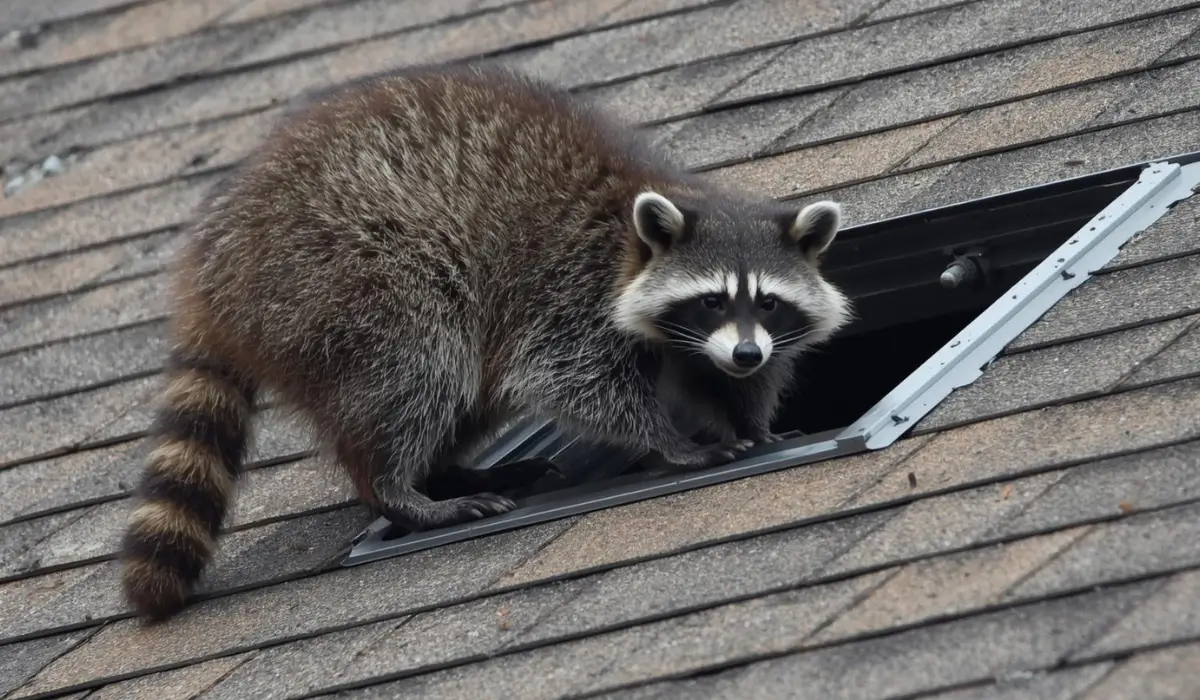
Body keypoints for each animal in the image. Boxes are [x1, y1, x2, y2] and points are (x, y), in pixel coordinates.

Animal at [118, 63, 852, 622]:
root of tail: (214, 266)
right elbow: (568, 378)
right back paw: (397, 488)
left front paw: (751, 420)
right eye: (711, 300)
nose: (746, 353)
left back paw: (447, 468)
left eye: (767, 303)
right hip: (344, 276)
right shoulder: (571, 294)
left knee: (466, 391)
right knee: (421, 363)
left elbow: (717, 379)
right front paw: (669, 440)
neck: (637, 234)